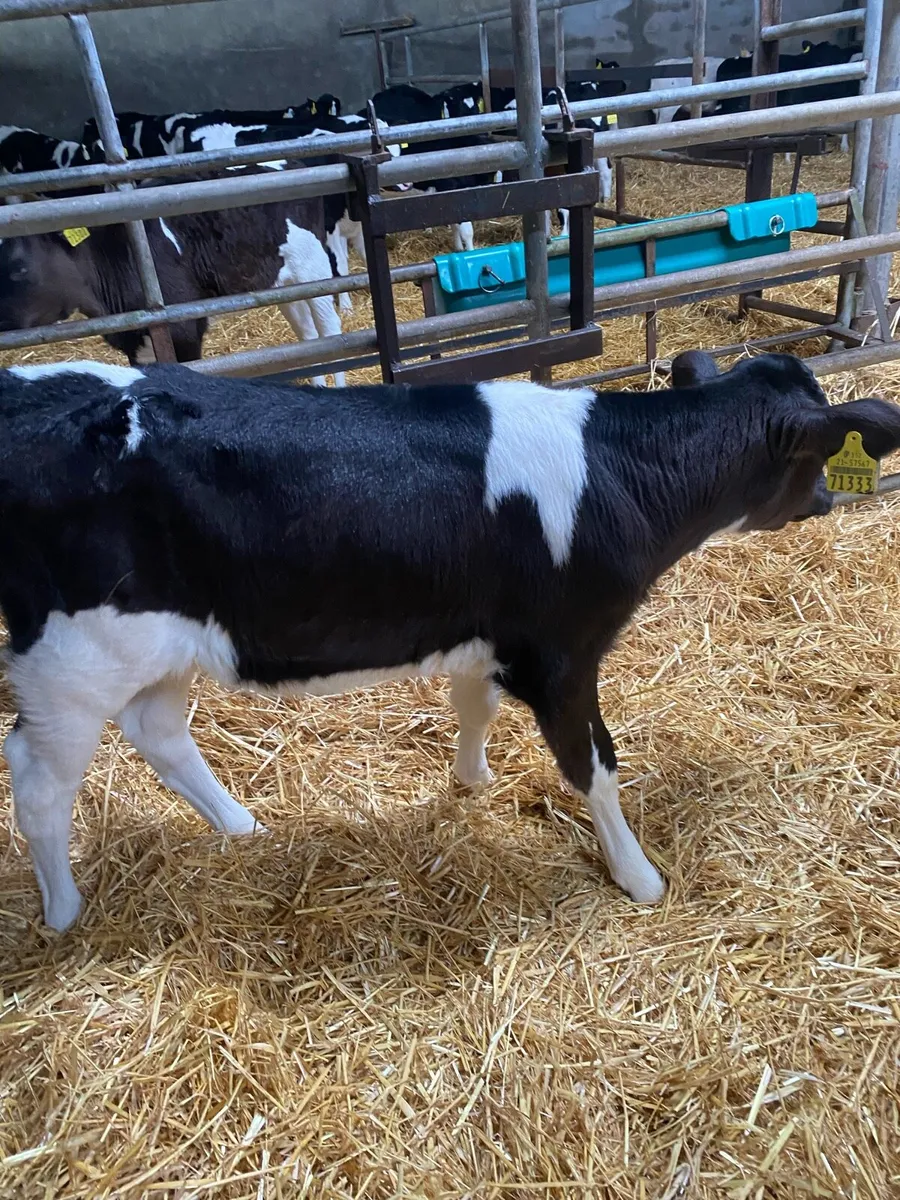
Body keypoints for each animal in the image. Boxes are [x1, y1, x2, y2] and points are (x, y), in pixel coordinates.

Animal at [0, 171, 344, 383]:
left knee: (330, 329)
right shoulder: (136, 345)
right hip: (284, 283)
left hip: (315, 268)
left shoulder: (185, 331)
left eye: (19, 267)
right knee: (308, 335)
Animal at [4, 350, 900, 933]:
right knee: (41, 782)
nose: (827, 500)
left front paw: (471, 780)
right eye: (819, 455)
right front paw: (639, 877)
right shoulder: (563, 650)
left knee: (157, 731)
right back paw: (65, 914)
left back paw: (241, 829)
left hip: (155, 645)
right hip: (69, 660)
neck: (614, 472)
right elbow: (595, 766)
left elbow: (475, 706)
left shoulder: (489, 633)